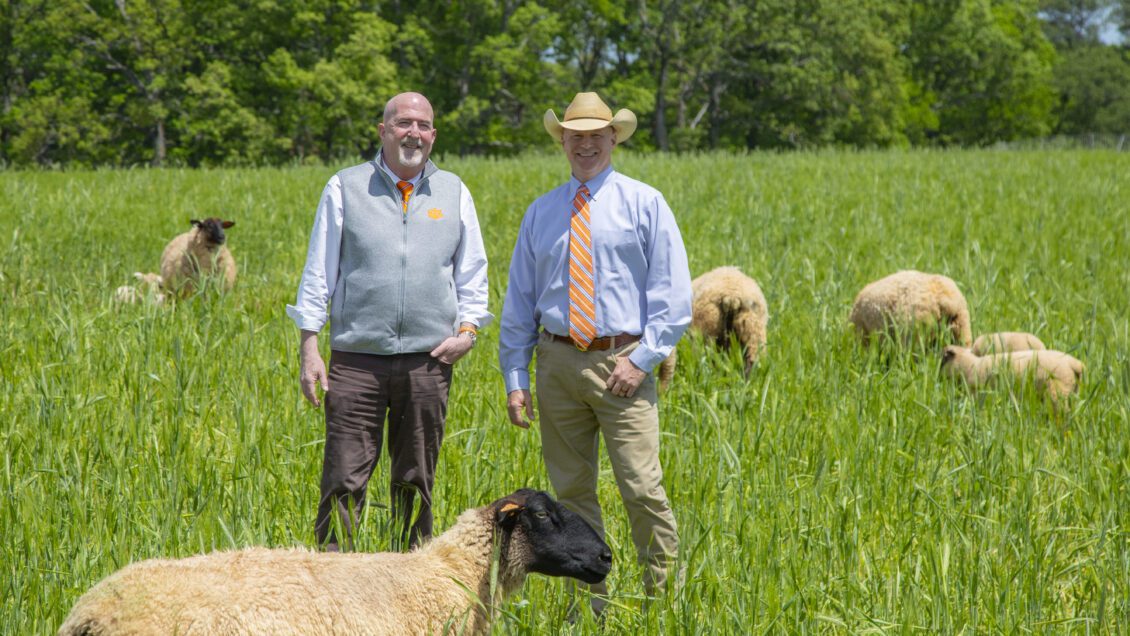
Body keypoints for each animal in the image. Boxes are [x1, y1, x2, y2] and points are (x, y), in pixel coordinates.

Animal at [935, 345, 1084, 411]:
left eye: (943, 359)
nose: (937, 379)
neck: (970, 365)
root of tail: (1075, 364)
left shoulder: (979, 393)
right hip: (1073, 392)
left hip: (1058, 391)